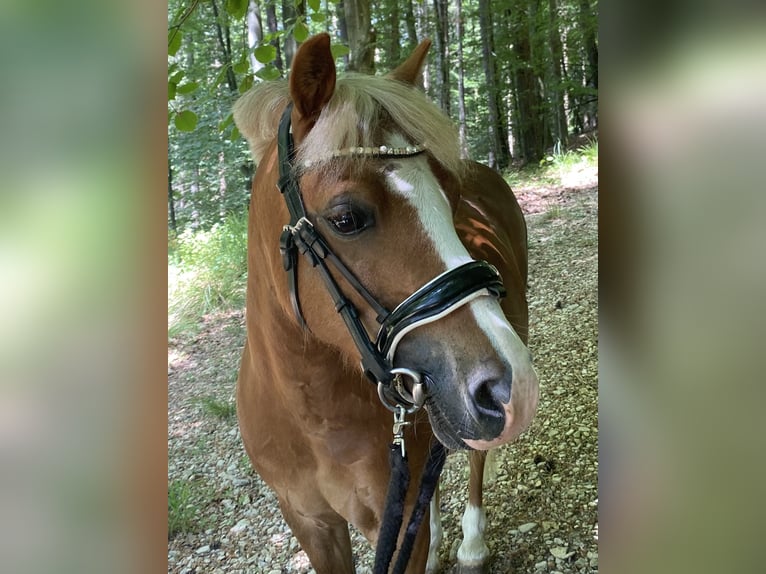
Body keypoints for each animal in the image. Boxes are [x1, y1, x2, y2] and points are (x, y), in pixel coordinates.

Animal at [234, 33, 540, 572]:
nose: (512, 386)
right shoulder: (311, 524)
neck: (310, 415)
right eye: (346, 218)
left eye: (451, 198)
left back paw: (471, 542)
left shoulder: (393, 532)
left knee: (475, 459)